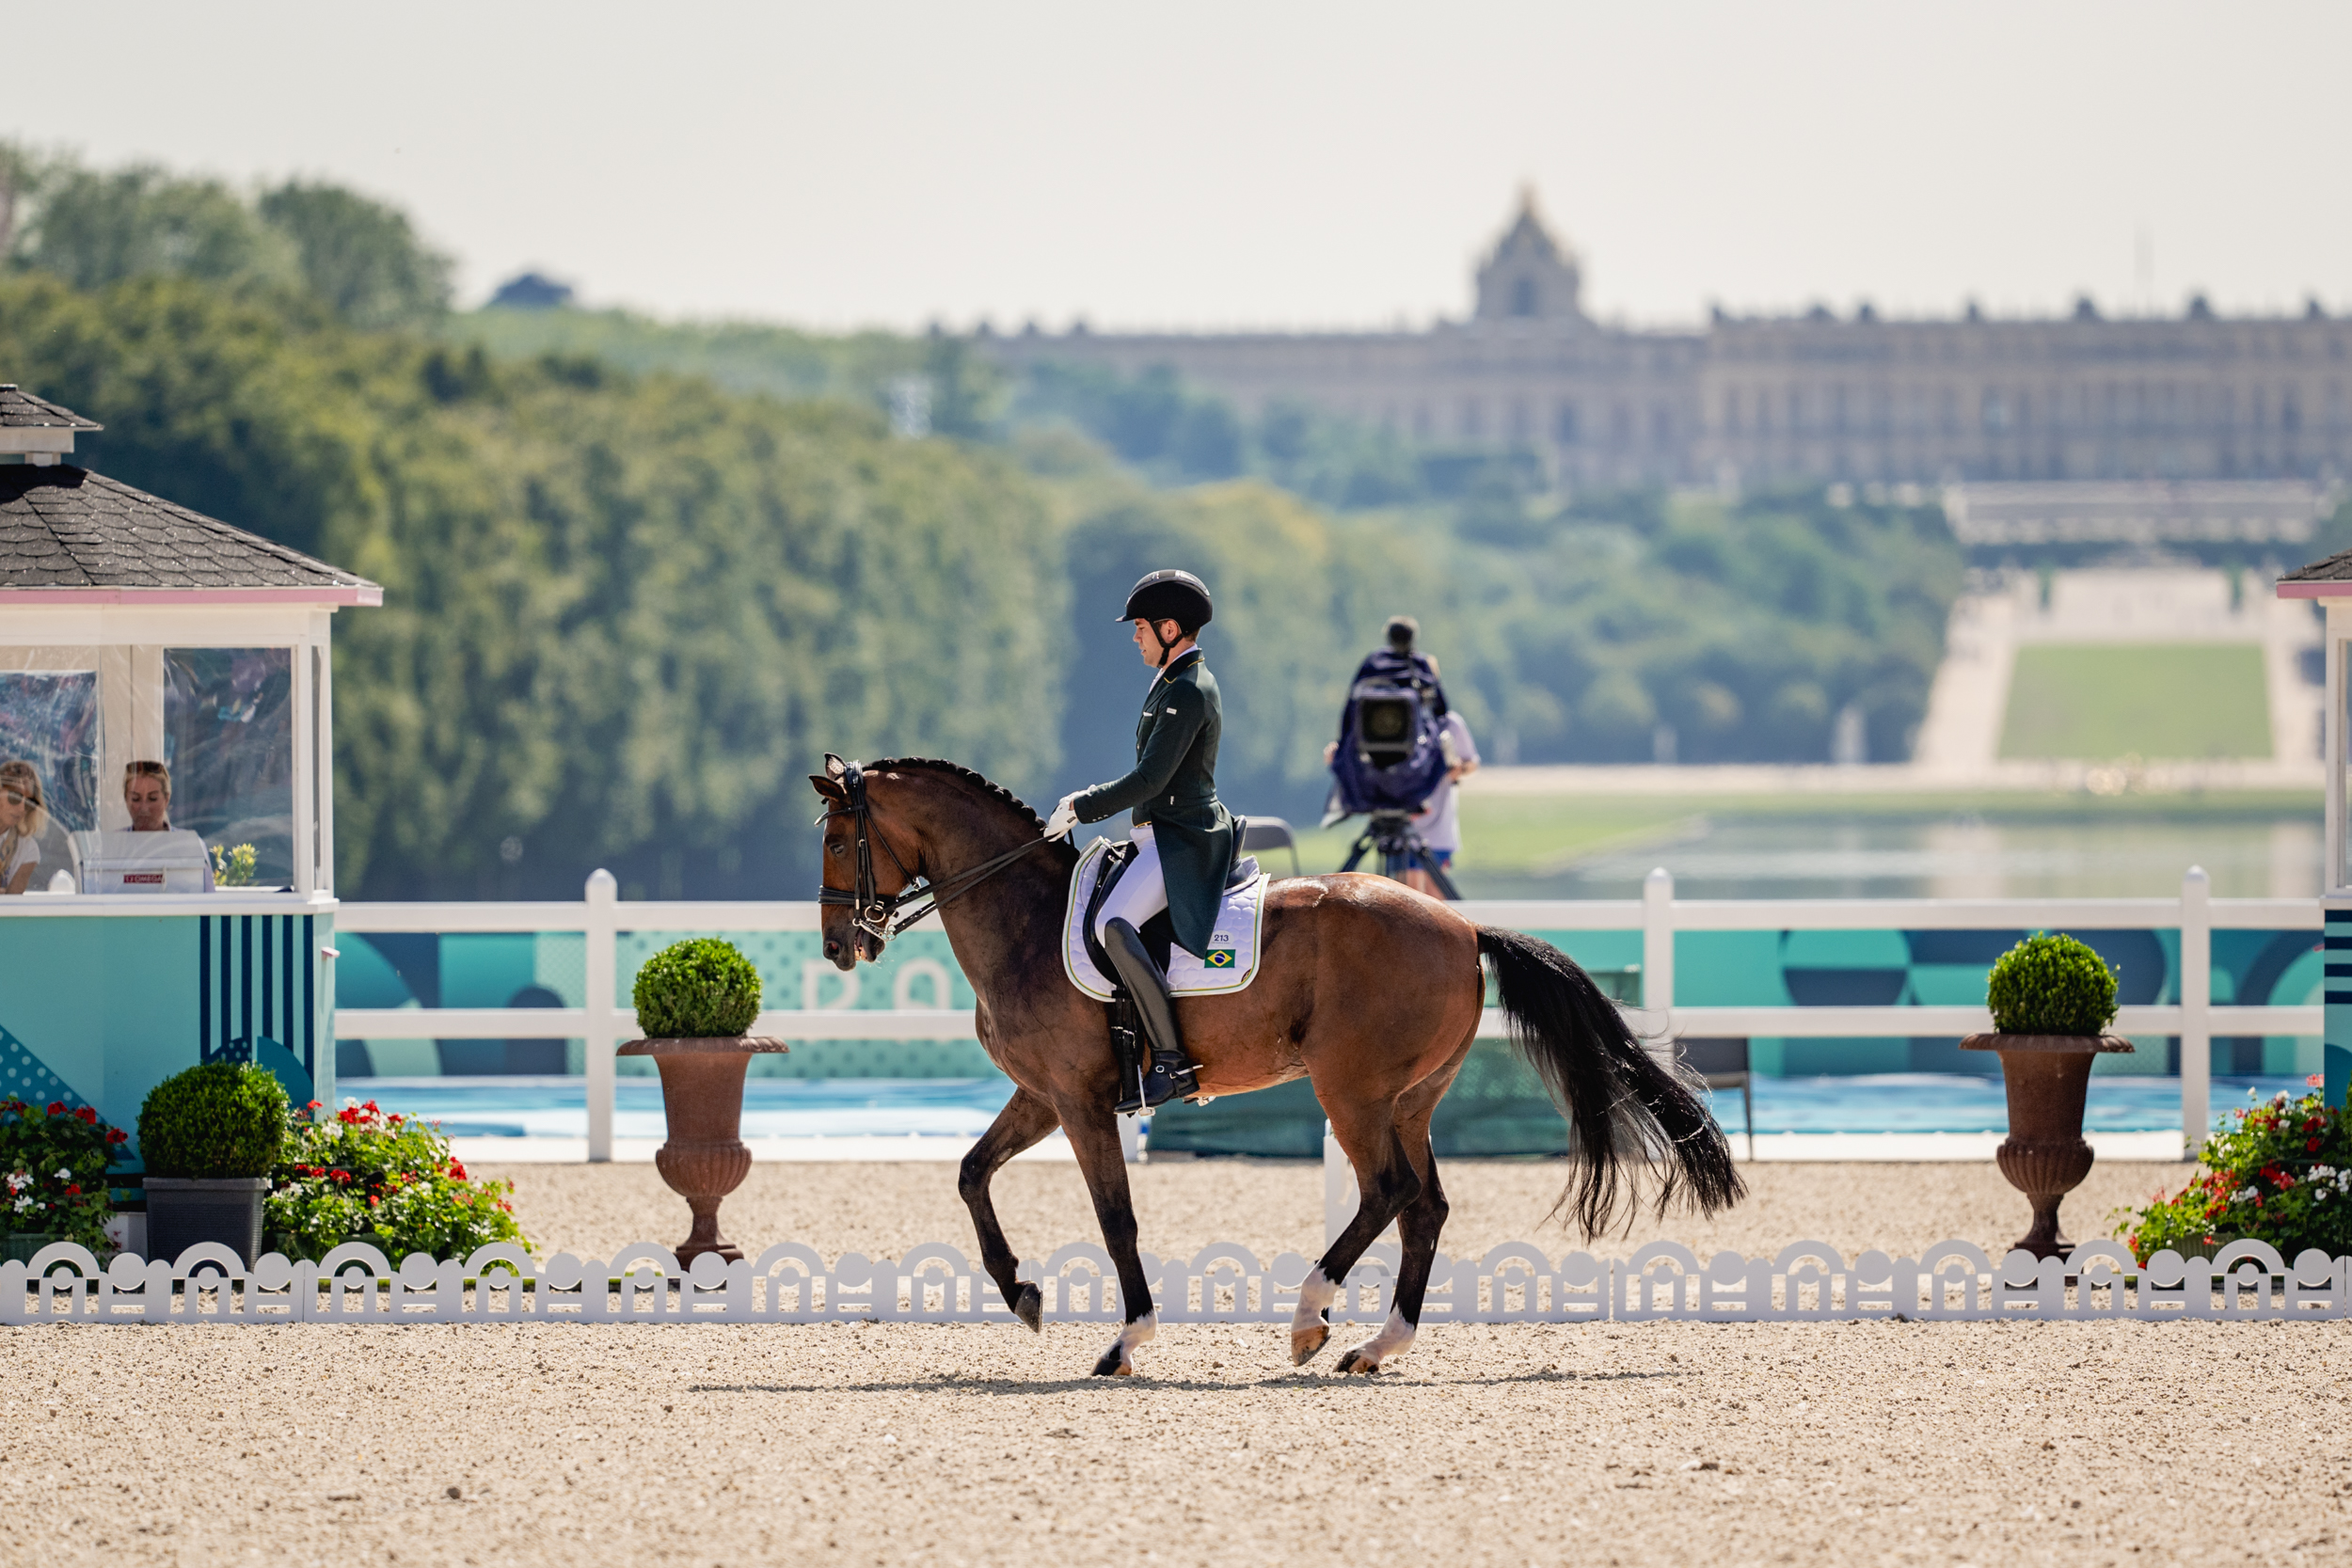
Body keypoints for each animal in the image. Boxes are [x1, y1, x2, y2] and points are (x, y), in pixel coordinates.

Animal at [814, 756, 1750, 1372]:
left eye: (836, 838)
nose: (837, 946)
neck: (1028, 919)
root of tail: (1461, 926)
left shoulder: (1079, 1102)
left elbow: (1116, 1219)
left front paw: (1126, 1338)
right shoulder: (1041, 1095)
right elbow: (971, 1173)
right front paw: (1021, 1292)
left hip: (1353, 1089)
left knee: (1389, 1190)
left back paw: (1310, 1317)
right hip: (1409, 1098)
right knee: (1425, 1207)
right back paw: (1377, 1342)